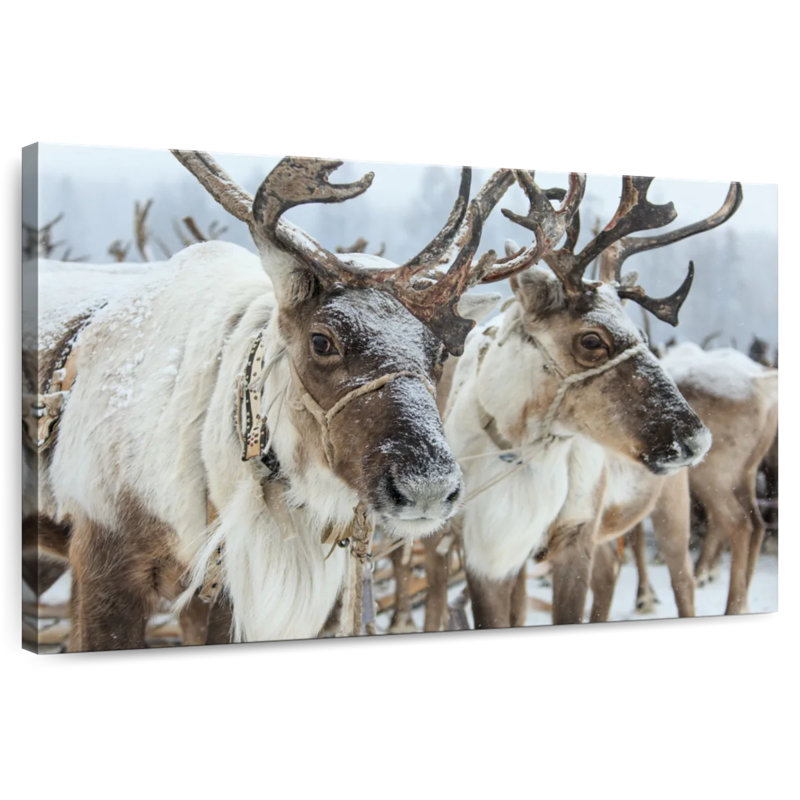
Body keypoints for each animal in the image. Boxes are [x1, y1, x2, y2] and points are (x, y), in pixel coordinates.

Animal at [420, 173, 742, 630]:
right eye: (591, 339)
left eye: (641, 335)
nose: (695, 439)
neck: (521, 445)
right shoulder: (485, 550)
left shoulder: (577, 533)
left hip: (671, 507)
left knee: (682, 582)